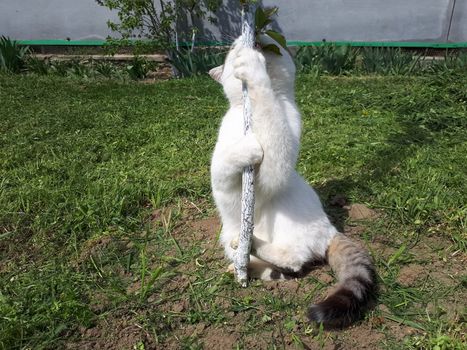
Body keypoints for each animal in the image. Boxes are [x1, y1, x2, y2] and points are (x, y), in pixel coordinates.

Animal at [210, 35, 378, 328]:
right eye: (231, 49)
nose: (255, 38)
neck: (248, 113)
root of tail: (332, 230)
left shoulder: (272, 170)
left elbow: (267, 106)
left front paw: (254, 67)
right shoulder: (221, 172)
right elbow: (226, 160)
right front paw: (246, 147)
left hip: (284, 206)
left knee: (295, 260)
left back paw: (250, 244)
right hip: (228, 232)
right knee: (285, 268)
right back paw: (249, 265)